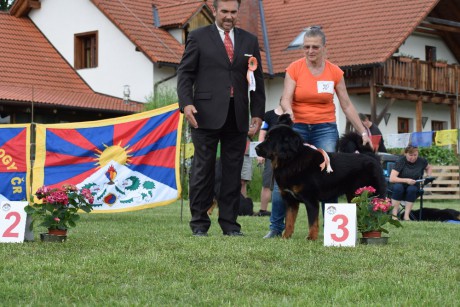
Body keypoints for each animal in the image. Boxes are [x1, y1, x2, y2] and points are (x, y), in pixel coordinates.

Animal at [253, 114, 386, 242]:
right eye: (266, 137)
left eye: (270, 139)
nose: (256, 148)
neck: (291, 160)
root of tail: (371, 156)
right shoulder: (291, 201)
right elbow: (289, 222)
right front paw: (285, 237)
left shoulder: (311, 200)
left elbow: (312, 222)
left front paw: (311, 238)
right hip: (355, 197)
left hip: (369, 195)